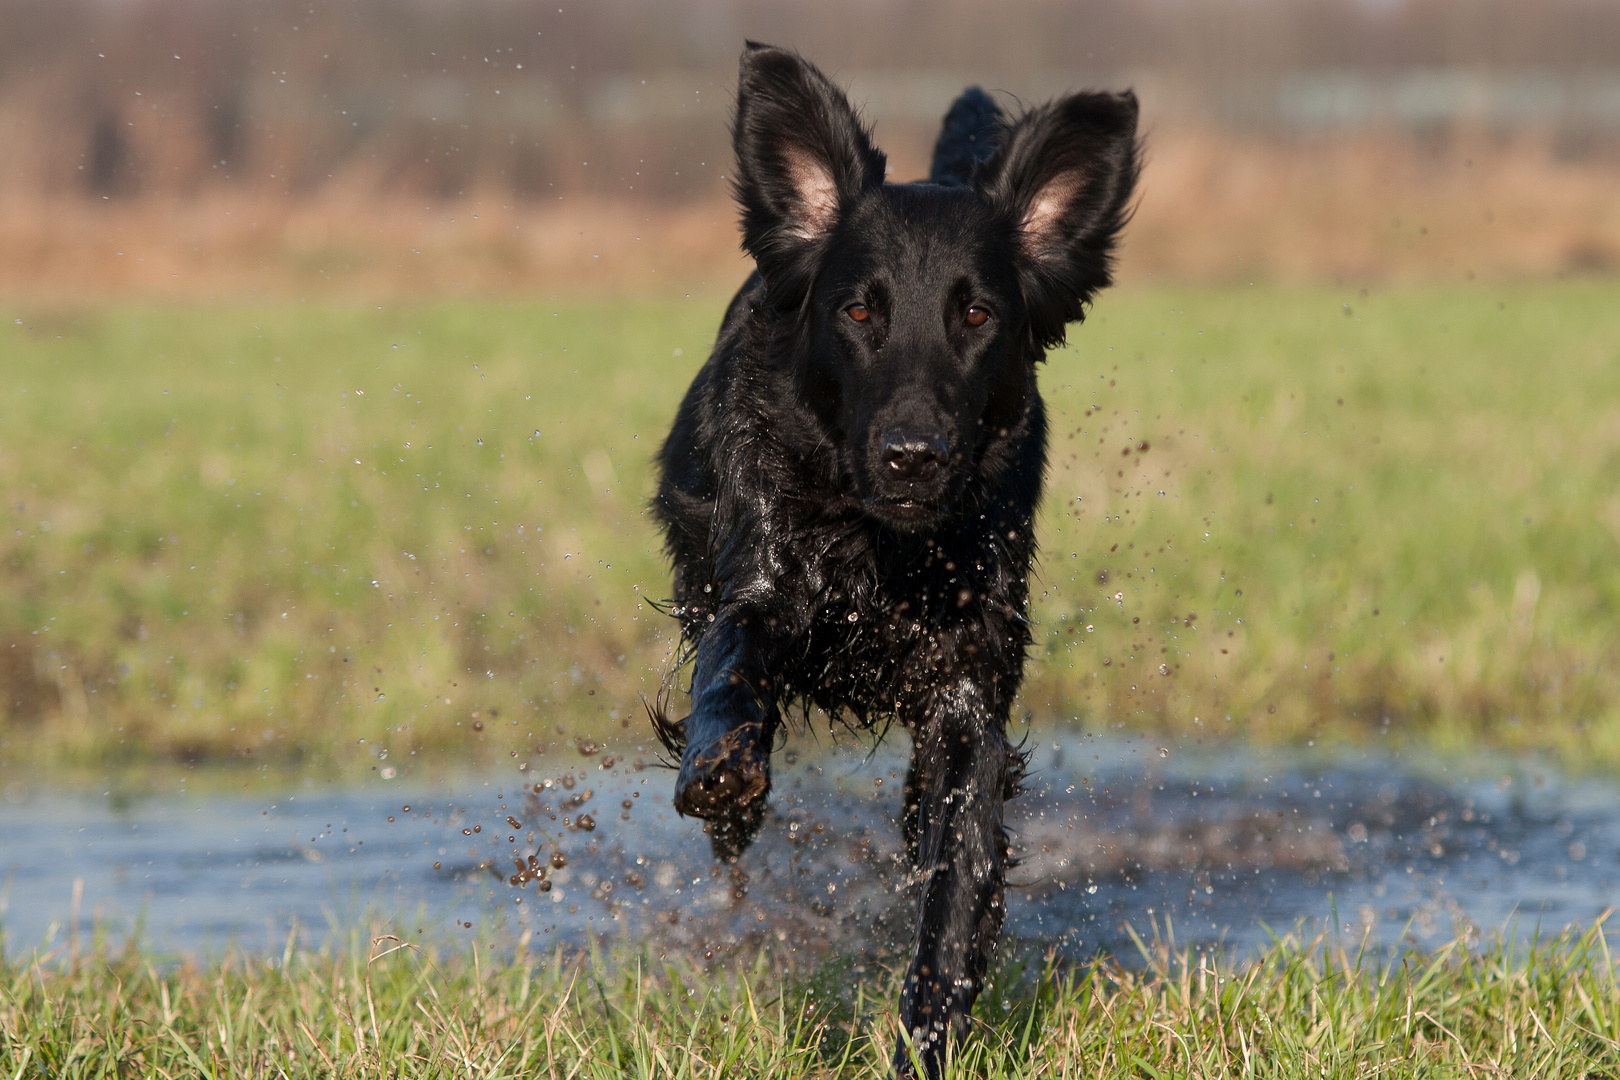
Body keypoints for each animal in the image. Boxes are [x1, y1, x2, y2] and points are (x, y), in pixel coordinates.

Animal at [648, 44, 1140, 1080]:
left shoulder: (968, 692)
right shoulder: (756, 578)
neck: (881, 546)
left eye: (979, 314)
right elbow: (733, 663)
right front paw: (722, 770)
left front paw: (929, 1031)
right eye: (859, 310)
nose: (914, 455)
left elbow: (957, 873)